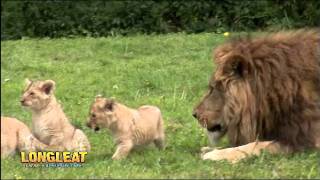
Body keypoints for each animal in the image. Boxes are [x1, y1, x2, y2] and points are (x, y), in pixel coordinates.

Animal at [192, 28, 320, 163]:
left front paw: (215, 154)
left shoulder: (307, 139)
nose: (194, 114)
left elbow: (257, 144)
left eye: (213, 88)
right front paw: (208, 149)